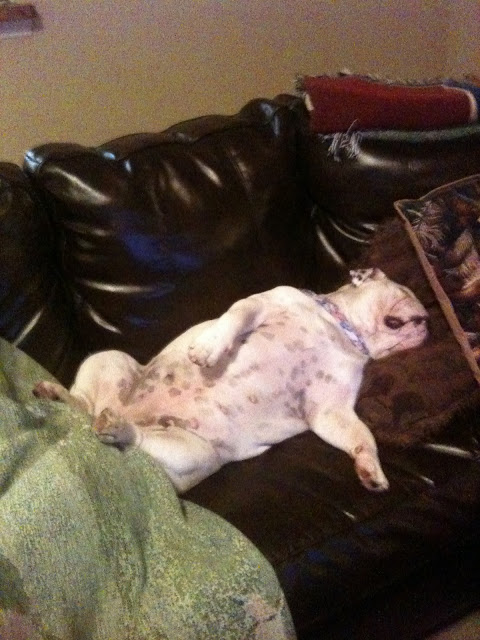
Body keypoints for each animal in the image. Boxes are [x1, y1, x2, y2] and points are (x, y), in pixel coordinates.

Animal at [33, 268, 428, 493]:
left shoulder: (332, 410)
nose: (428, 320)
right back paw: (60, 395)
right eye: (405, 293)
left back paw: (115, 427)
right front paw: (210, 349)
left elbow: (361, 436)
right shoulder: (263, 303)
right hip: (109, 359)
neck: (341, 329)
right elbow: (237, 315)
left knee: (133, 437)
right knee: (85, 403)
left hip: (193, 452)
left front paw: (371, 469)